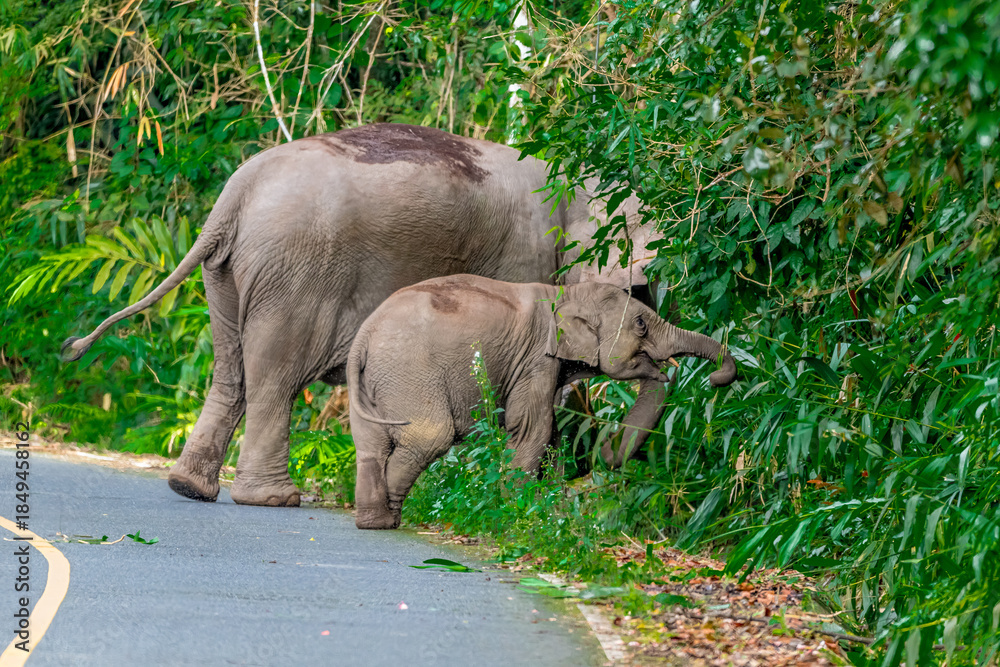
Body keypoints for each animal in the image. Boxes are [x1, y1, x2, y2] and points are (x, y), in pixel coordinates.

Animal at [62, 123, 664, 508]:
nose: (602, 460)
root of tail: (234, 195)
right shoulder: (526, 259)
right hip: (296, 273)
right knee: (275, 376)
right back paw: (273, 499)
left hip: (228, 275)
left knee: (231, 371)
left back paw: (191, 489)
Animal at [348, 274, 737, 529]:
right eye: (641, 324)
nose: (713, 379)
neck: (566, 292)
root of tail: (362, 338)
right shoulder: (535, 358)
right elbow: (533, 428)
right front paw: (519, 512)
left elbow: (549, 430)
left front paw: (544, 503)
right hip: (410, 373)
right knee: (429, 437)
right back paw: (389, 519)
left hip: (374, 383)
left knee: (370, 446)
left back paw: (374, 521)